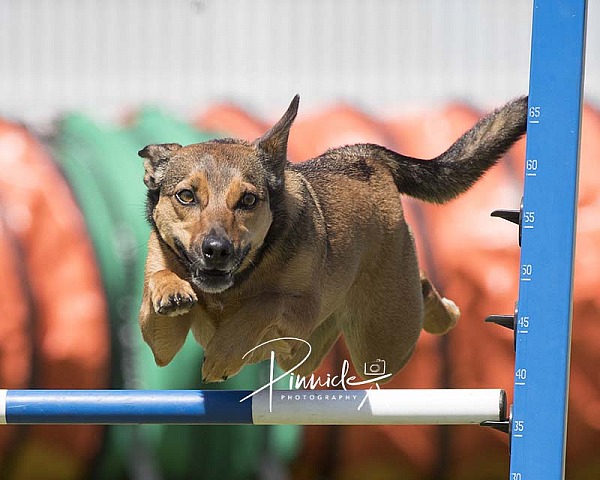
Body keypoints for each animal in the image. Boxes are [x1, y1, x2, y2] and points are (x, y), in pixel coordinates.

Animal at [138, 96, 528, 382]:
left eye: (247, 200)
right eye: (186, 196)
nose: (217, 251)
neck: (234, 287)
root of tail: (366, 154)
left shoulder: (300, 310)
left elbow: (264, 303)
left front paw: (222, 355)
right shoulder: (162, 340)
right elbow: (159, 290)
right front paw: (171, 291)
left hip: (381, 341)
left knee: (421, 301)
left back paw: (444, 311)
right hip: (311, 351)